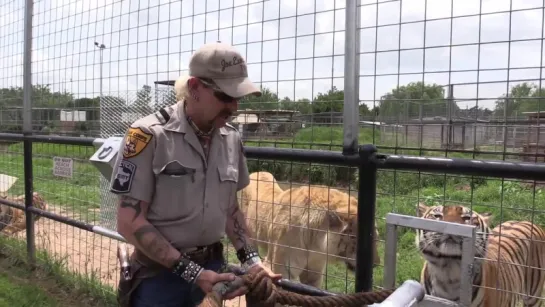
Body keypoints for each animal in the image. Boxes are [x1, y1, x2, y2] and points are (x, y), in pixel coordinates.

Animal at [416, 203, 544, 306]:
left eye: (467, 218)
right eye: (437, 216)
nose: (452, 226)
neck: (448, 272)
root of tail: (528, 221)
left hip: (533, 297)